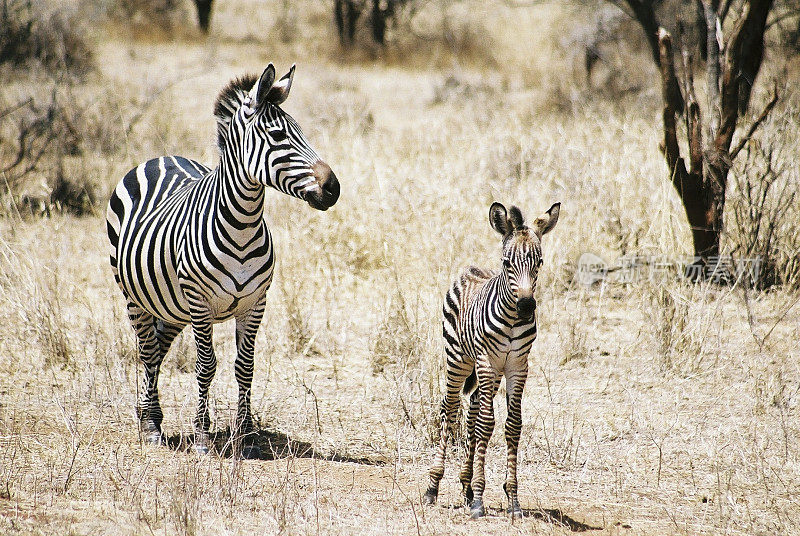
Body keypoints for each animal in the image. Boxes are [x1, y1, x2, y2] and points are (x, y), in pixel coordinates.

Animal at [105, 63, 338, 456]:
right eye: (278, 136)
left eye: (302, 133)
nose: (333, 188)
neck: (243, 224)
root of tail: (160, 157)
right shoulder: (200, 303)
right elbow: (206, 365)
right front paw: (202, 433)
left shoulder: (255, 303)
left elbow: (245, 366)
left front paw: (245, 434)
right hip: (135, 296)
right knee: (148, 352)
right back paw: (151, 425)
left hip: (172, 306)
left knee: (158, 350)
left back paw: (149, 414)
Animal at [422, 201, 560, 520]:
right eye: (507, 263)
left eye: (539, 262)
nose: (526, 306)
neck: (512, 320)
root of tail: (471, 270)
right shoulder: (487, 361)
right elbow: (487, 423)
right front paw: (479, 501)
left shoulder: (517, 366)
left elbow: (513, 425)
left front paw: (512, 500)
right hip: (459, 360)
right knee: (450, 409)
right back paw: (434, 487)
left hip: (490, 372)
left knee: (472, 409)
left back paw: (466, 486)